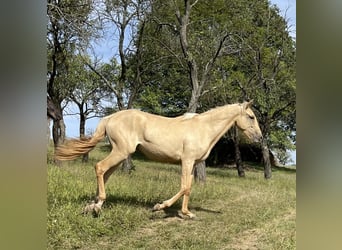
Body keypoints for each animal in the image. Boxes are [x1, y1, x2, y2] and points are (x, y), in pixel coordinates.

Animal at [55, 100, 262, 218]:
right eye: (251, 116)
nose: (259, 138)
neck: (203, 128)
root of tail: (110, 118)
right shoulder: (187, 161)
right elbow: (184, 187)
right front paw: (159, 207)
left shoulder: (193, 164)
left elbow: (188, 187)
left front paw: (186, 213)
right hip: (121, 151)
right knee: (99, 167)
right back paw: (97, 206)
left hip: (120, 154)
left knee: (105, 174)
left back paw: (94, 206)